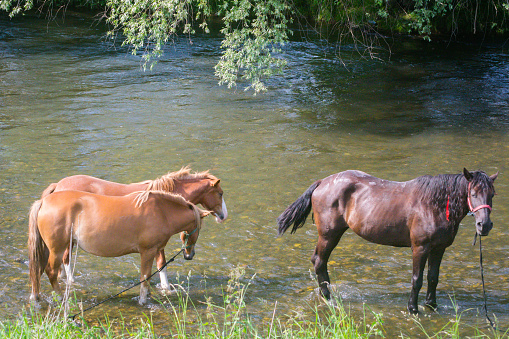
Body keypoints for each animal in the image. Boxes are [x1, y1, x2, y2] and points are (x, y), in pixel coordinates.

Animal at [28, 191, 208, 306]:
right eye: (199, 228)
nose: (190, 255)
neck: (161, 212)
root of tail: (43, 201)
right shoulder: (147, 251)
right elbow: (145, 277)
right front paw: (143, 301)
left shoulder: (155, 250)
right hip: (57, 250)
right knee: (51, 271)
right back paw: (60, 298)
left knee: (40, 270)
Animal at [40, 167, 227, 290]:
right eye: (220, 193)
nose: (223, 216)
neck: (163, 199)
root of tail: (58, 185)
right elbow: (162, 264)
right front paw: (166, 289)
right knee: (66, 259)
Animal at [278, 169, 496, 314]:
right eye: (473, 193)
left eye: (492, 194)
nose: (484, 225)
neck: (434, 206)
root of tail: (323, 182)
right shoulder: (420, 248)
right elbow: (417, 279)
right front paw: (413, 309)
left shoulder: (439, 249)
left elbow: (433, 278)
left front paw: (431, 306)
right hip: (329, 235)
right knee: (319, 261)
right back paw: (328, 298)